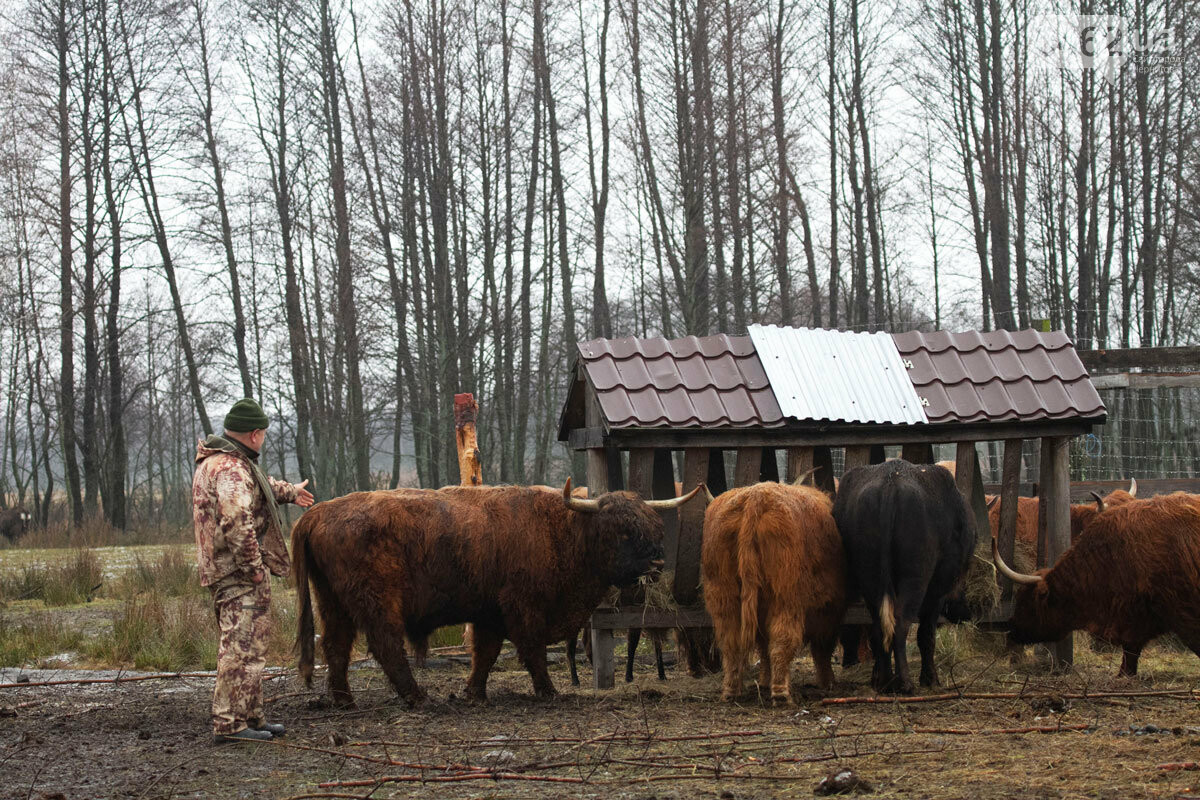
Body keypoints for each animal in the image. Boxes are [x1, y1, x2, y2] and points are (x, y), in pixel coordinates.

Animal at [291, 479, 700, 705]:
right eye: (623, 530)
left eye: (655, 526)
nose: (657, 563)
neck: (563, 527)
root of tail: (317, 513)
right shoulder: (524, 608)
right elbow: (531, 650)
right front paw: (548, 690)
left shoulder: (489, 612)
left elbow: (485, 653)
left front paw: (474, 692)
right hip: (377, 603)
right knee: (385, 645)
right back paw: (417, 697)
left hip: (332, 603)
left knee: (336, 646)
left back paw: (344, 700)